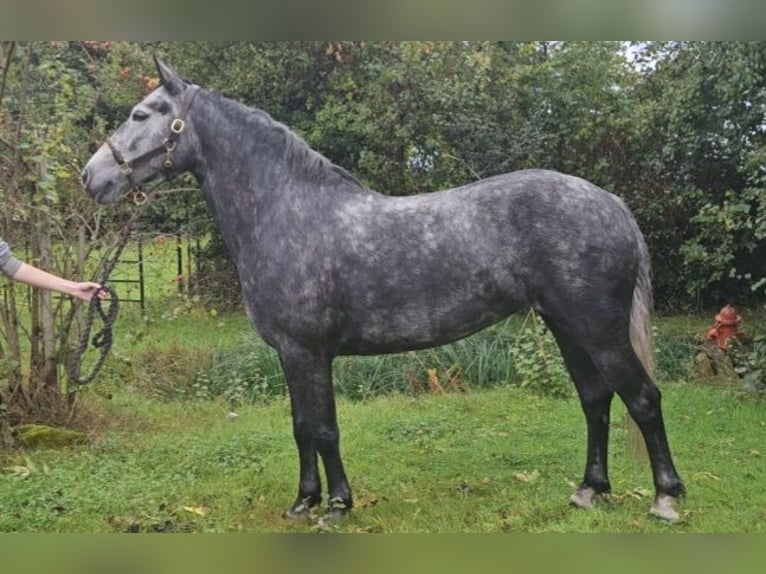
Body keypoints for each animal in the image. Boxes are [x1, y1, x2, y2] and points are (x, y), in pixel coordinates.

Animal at [81, 58, 684, 525]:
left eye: (141, 114)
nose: (91, 177)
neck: (287, 212)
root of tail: (609, 203)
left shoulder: (310, 352)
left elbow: (324, 429)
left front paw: (337, 507)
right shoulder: (289, 355)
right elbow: (300, 428)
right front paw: (303, 503)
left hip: (597, 328)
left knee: (642, 398)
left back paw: (665, 499)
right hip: (566, 326)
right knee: (596, 400)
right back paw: (588, 491)